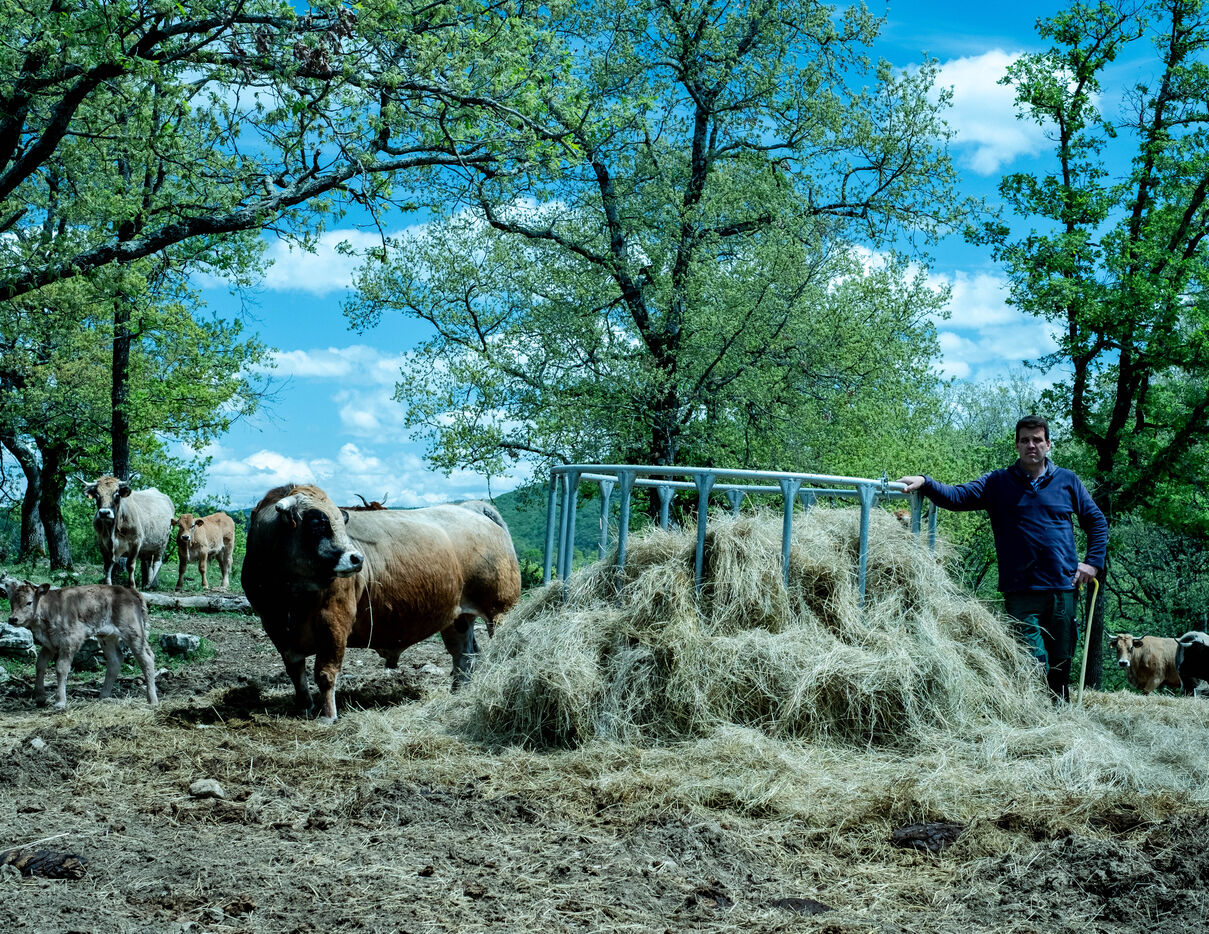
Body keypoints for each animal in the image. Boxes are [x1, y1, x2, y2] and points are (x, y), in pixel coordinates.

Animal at [4, 579, 158, 710]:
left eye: (29, 602)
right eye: (11, 601)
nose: (13, 619)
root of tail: (130, 591)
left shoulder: (70, 640)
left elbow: (61, 668)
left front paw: (60, 701)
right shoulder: (49, 644)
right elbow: (40, 665)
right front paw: (40, 697)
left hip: (133, 632)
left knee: (146, 658)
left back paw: (152, 699)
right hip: (107, 636)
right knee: (115, 660)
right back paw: (103, 696)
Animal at [241, 483, 521, 723]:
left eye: (341, 520)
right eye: (317, 521)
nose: (356, 558)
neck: (288, 597)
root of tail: (470, 508)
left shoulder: (334, 622)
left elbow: (325, 672)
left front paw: (327, 715)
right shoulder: (275, 628)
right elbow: (295, 672)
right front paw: (304, 706)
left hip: (500, 612)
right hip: (457, 618)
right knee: (464, 655)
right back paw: (458, 693)